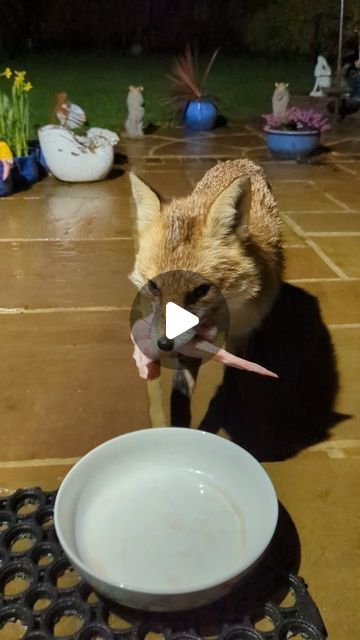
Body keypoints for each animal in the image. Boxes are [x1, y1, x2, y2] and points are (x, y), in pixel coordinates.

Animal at [129, 159, 284, 430]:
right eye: (154, 286)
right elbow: (179, 396)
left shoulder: (239, 335)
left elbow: (232, 384)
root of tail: (240, 161)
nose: (164, 344)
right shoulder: (186, 346)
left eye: (201, 290)